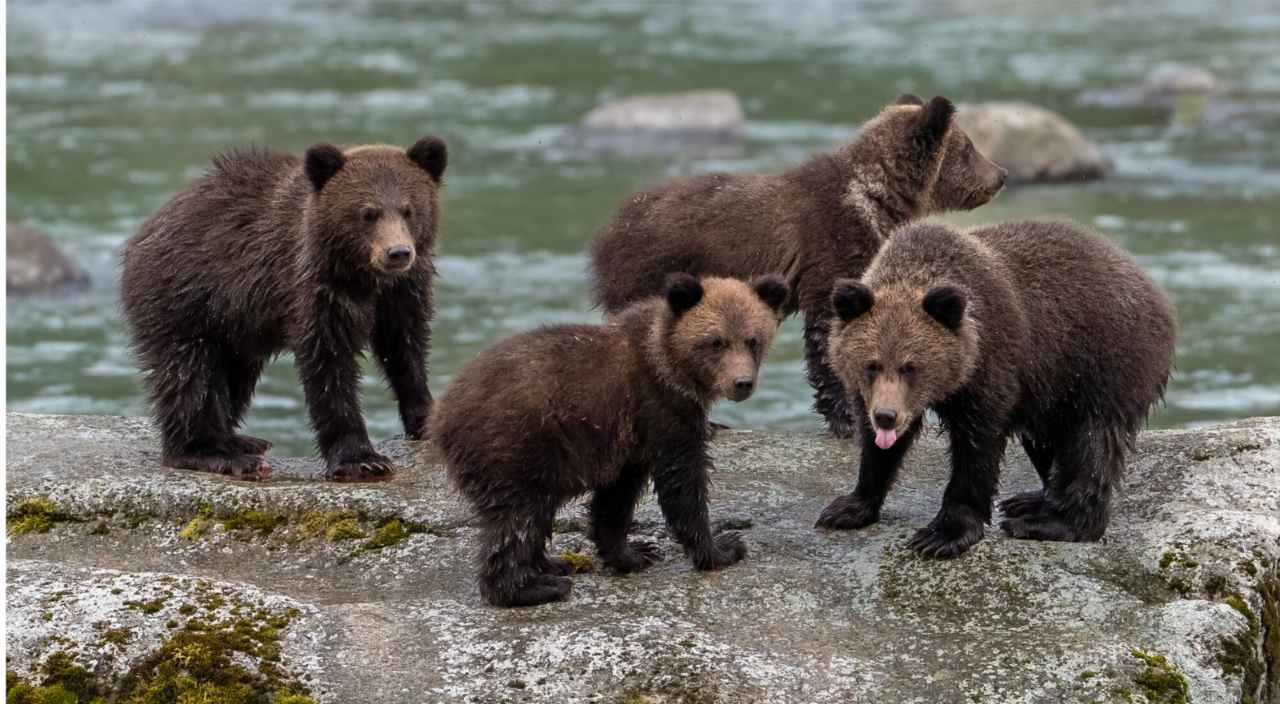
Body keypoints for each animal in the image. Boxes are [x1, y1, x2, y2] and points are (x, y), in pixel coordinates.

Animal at [121, 137, 448, 478]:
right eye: (367, 213)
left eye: (409, 210)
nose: (398, 252)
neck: (365, 277)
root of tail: (142, 232)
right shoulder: (312, 287)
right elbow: (330, 363)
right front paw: (361, 459)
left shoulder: (403, 291)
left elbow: (406, 345)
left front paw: (425, 416)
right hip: (186, 300)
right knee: (191, 375)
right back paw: (214, 452)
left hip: (233, 329)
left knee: (233, 378)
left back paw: (239, 440)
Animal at [430, 274, 788, 607]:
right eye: (716, 342)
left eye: (752, 340)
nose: (742, 382)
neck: (666, 363)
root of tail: (442, 414)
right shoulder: (661, 410)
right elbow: (683, 481)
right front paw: (722, 547)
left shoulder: (630, 437)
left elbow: (617, 496)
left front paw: (632, 552)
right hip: (514, 443)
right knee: (517, 516)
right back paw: (531, 587)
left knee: (533, 513)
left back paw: (550, 564)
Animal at [588, 94, 1007, 439]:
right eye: (969, 147)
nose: (1001, 174)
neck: (876, 197)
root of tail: (607, 232)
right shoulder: (830, 250)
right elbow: (826, 335)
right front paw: (848, 420)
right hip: (655, 275)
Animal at [816, 219, 1177, 558]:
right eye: (872, 364)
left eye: (911, 367)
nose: (887, 416)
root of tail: (1155, 291)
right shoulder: (872, 394)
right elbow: (876, 450)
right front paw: (848, 507)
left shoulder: (991, 366)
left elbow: (977, 449)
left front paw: (942, 535)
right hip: (1048, 390)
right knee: (1045, 441)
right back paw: (1033, 500)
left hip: (1100, 362)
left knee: (1090, 444)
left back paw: (1052, 522)